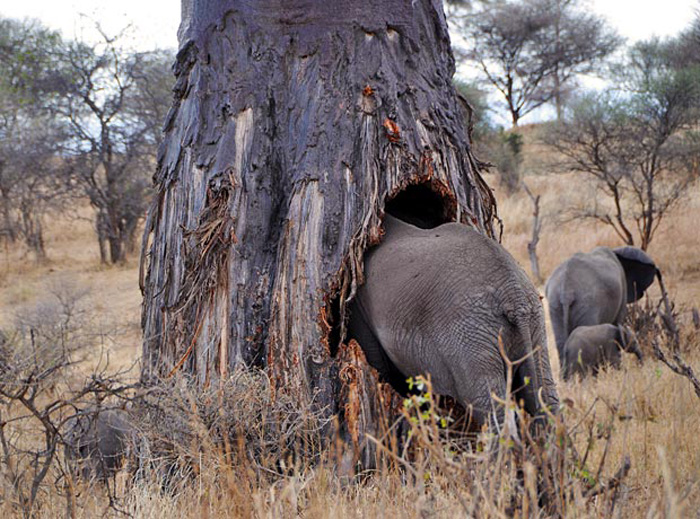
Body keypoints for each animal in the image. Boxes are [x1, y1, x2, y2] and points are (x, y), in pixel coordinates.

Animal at [348, 215, 560, 430]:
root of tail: (513, 293)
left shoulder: (358, 305)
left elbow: (378, 365)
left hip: (469, 330)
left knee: (490, 405)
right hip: (532, 321)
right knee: (546, 397)